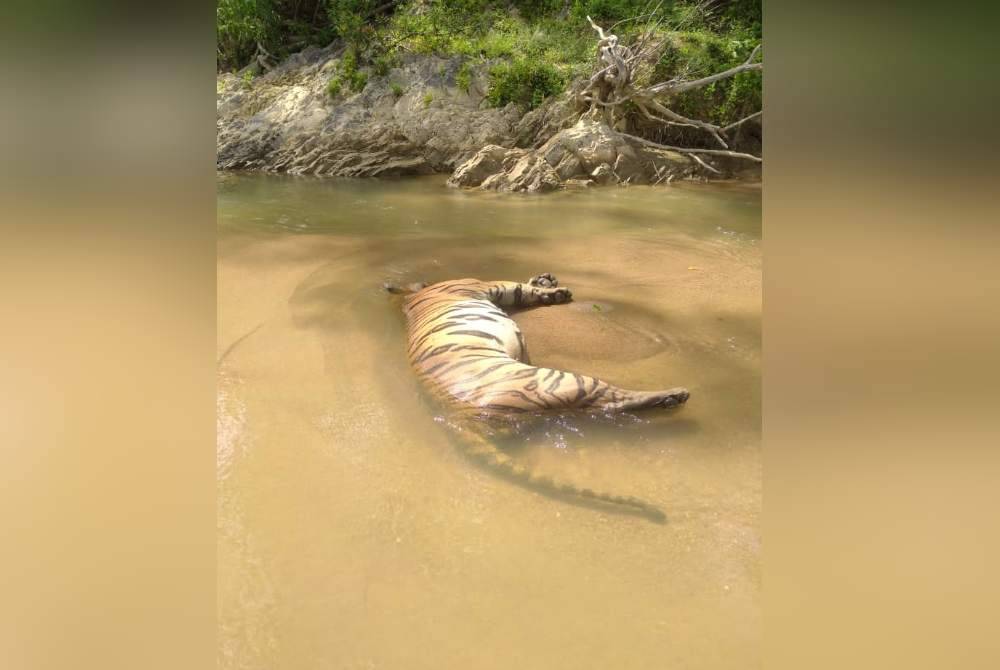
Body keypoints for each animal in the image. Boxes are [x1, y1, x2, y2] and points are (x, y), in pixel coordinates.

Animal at [386, 272, 692, 524]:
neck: (410, 295)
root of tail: (459, 419)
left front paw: (547, 284)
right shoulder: (484, 284)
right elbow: (519, 287)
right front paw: (553, 290)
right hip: (562, 380)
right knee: (615, 400)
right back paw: (674, 395)